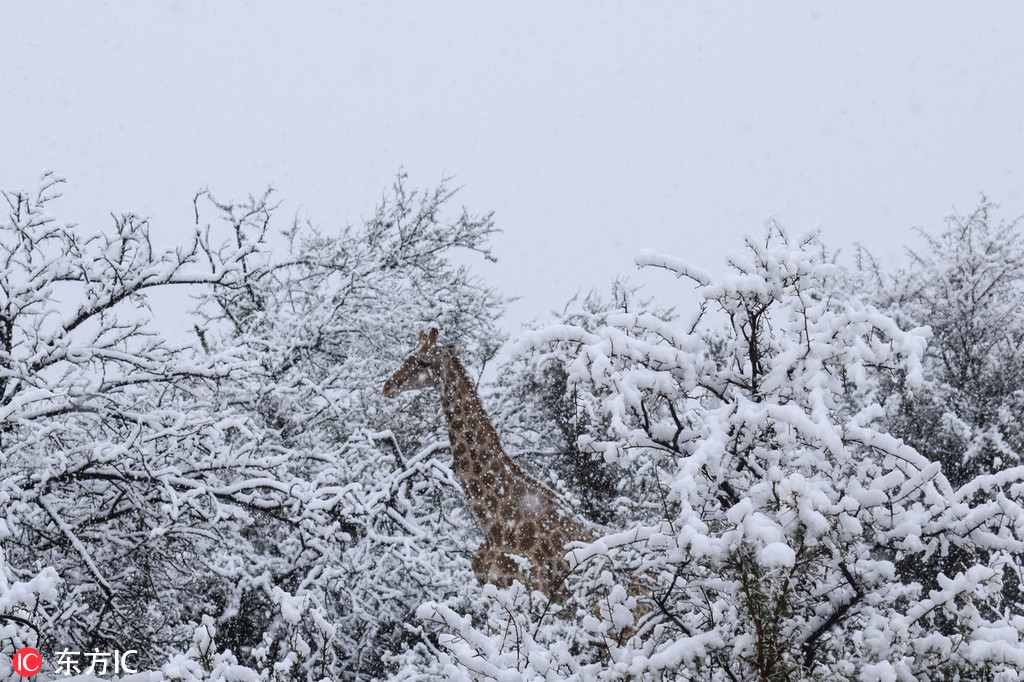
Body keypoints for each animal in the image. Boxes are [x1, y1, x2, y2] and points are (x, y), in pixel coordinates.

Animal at [382, 327, 593, 598]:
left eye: (423, 362)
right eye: (409, 355)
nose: (388, 386)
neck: (493, 521)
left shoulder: (523, 585)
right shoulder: (490, 586)